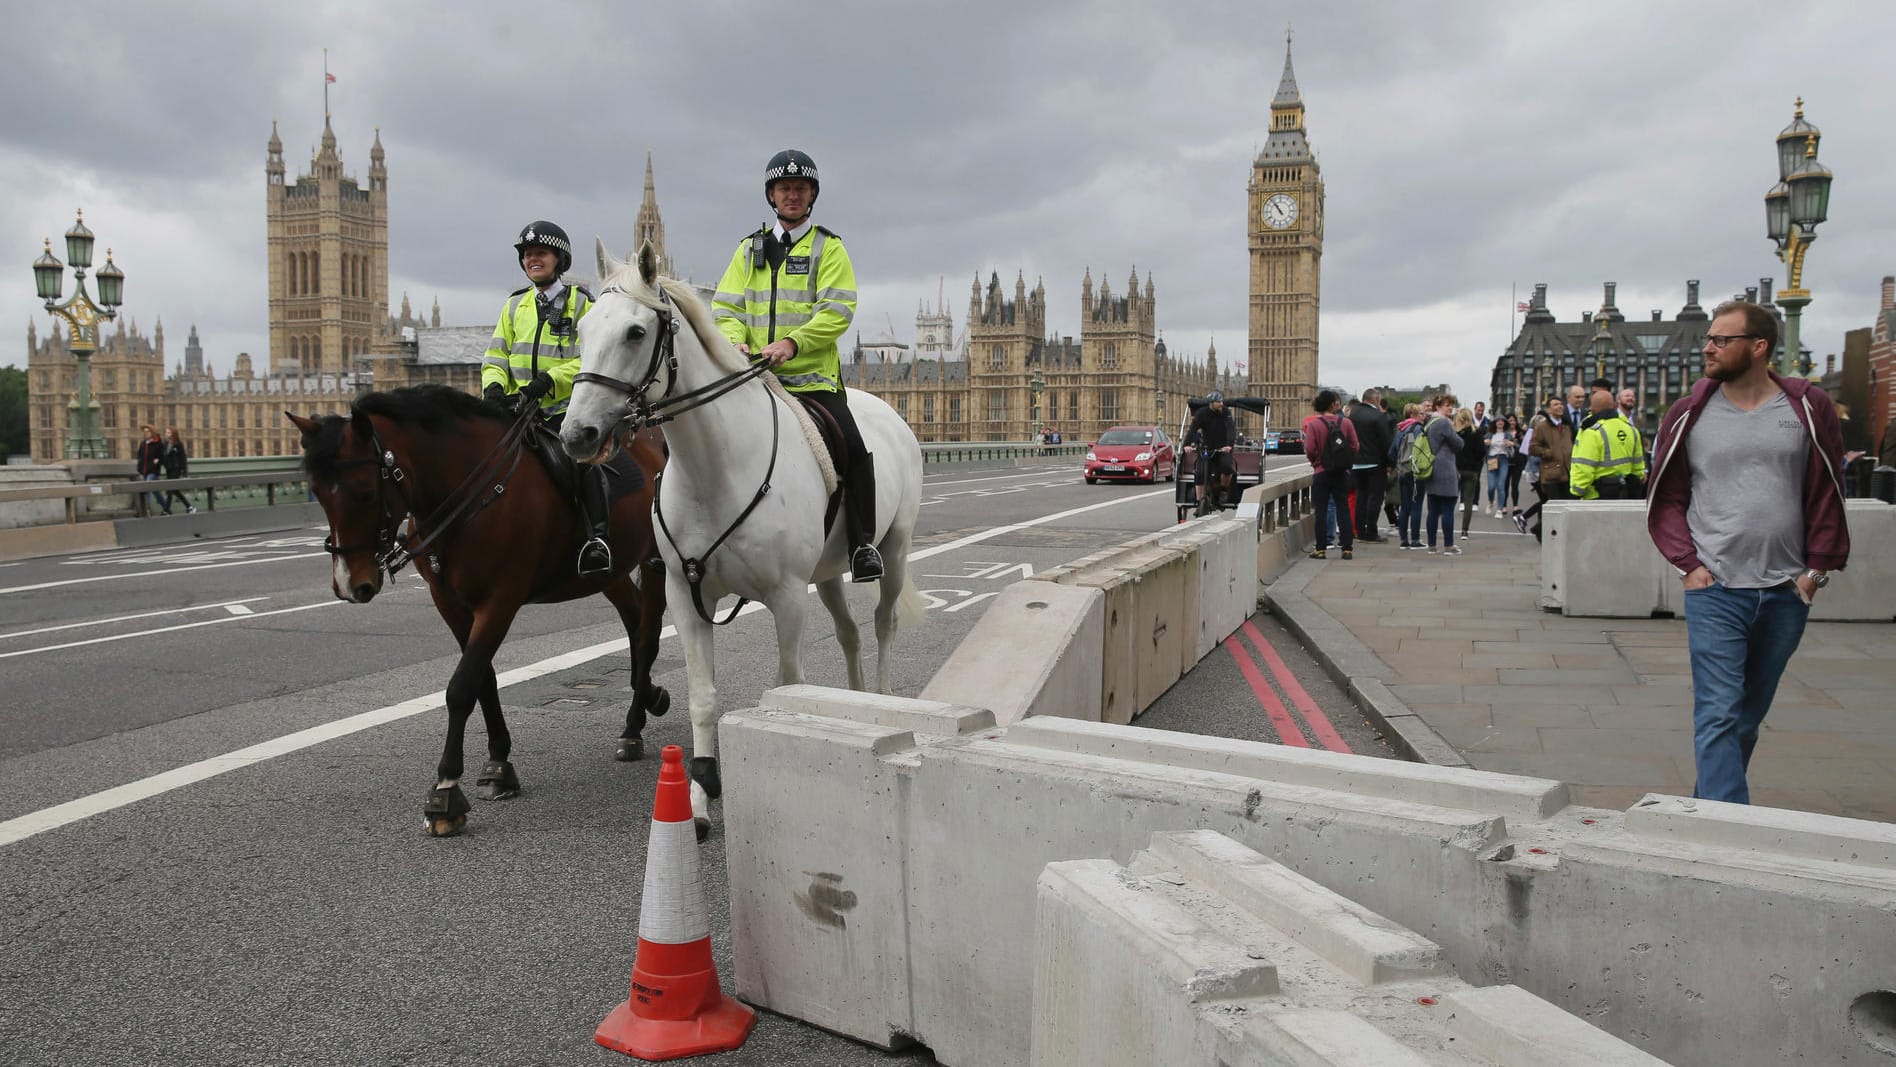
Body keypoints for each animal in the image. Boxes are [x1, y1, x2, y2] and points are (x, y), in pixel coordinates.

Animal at [280, 388, 667, 837]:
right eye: (318, 491)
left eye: (363, 492)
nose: (349, 585)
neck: (469, 496)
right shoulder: (450, 603)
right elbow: (484, 680)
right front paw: (499, 764)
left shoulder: (500, 600)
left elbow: (462, 686)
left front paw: (446, 792)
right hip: (609, 573)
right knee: (635, 620)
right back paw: (648, 700)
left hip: (656, 560)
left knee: (648, 636)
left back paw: (633, 727)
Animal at [553, 242, 925, 833]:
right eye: (582, 329)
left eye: (636, 332)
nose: (576, 434)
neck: (714, 471)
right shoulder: (685, 596)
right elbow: (703, 697)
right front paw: (702, 794)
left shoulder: (788, 597)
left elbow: (787, 683)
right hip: (826, 572)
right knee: (848, 633)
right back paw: (858, 701)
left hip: (894, 549)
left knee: (883, 622)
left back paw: (884, 698)